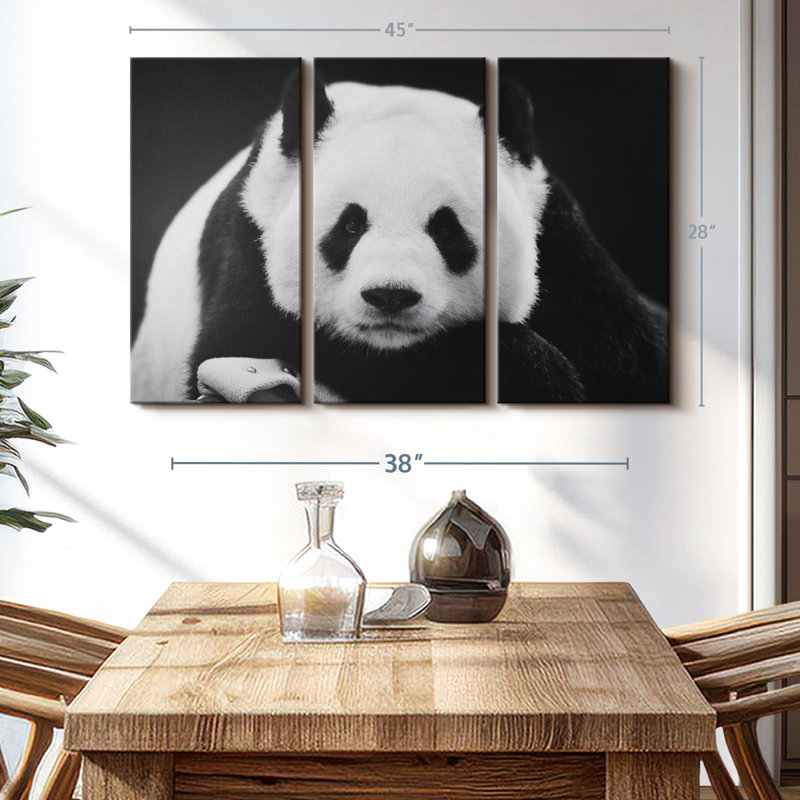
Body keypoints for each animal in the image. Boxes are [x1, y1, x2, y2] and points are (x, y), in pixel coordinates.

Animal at [131, 72, 667, 404]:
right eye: (350, 226)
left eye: (446, 229)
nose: (390, 296)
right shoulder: (249, 246)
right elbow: (239, 342)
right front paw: (534, 373)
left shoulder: (566, 253)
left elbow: (636, 361)